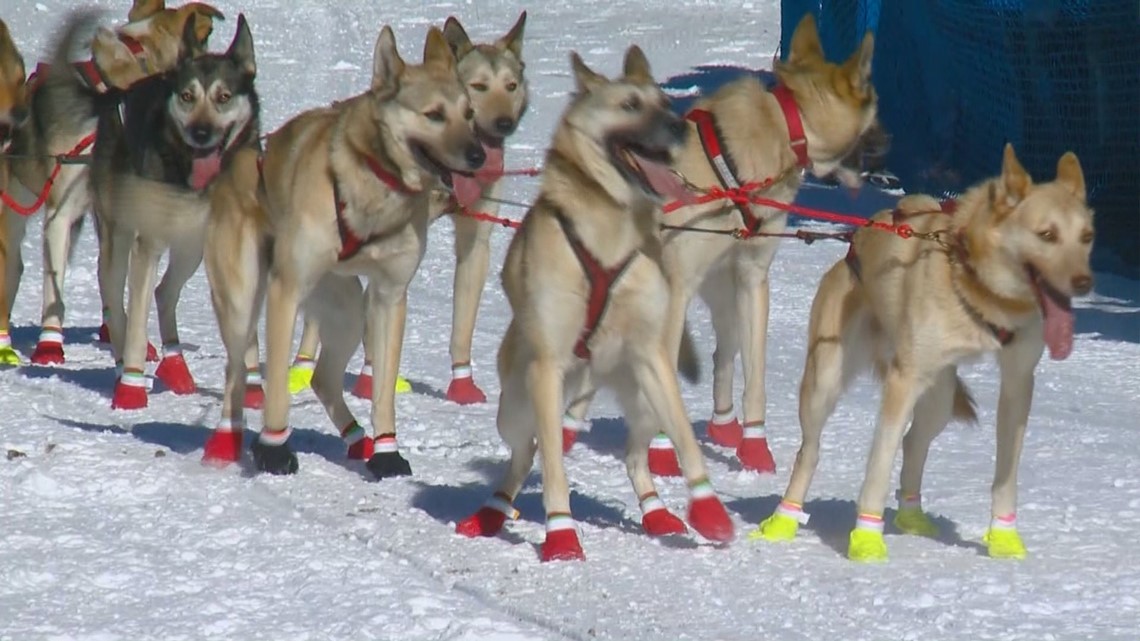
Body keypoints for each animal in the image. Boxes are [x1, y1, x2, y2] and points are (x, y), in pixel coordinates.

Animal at [202, 23, 483, 474]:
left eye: (469, 113)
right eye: (435, 114)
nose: (478, 154)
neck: (375, 186)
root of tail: (236, 164)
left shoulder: (389, 296)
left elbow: (383, 387)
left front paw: (386, 452)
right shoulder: (285, 289)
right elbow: (276, 381)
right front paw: (273, 448)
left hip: (349, 309)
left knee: (322, 378)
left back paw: (357, 439)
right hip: (243, 302)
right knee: (236, 373)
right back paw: (226, 442)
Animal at [289, 11, 528, 403]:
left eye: (510, 86)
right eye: (478, 87)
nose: (504, 124)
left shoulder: (473, 240)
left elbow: (463, 320)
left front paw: (462, 383)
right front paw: (371, 381)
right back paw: (300, 367)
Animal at [456, 47, 734, 561]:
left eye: (666, 102)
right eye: (629, 104)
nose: (679, 127)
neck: (610, 225)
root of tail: (594, 377)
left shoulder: (652, 356)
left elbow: (687, 438)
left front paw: (708, 509)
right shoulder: (547, 366)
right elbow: (553, 468)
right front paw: (561, 535)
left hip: (642, 399)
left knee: (634, 454)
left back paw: (656, 510)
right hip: (519, 406)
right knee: (526, 455)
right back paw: (492, 511)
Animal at [756, 143, 1094, 558]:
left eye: (1086, 237)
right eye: (1047, 234)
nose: (1084, 282)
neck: (975, 285)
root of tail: (855, 241)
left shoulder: (1017, 383)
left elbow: (1006, 472)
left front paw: (1004, 537)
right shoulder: (903, 383)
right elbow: (878, 464)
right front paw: (867, 540)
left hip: (940, 398)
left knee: (913, 441)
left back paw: (912, 515)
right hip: (826, 382)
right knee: (811, 451)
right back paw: (784, 519)